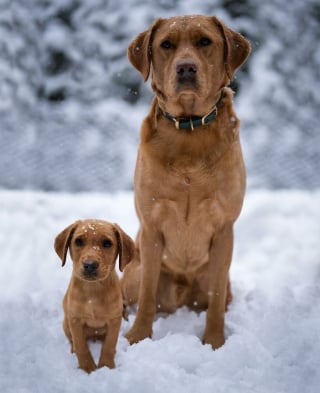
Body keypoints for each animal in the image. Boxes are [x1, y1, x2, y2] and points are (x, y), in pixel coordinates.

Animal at [54, 219, 134, 372]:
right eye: (78, 241)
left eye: (107, 243)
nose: (90, 265)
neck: (93, 291)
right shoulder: (75, 320)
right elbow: (81, 345)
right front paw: (88, 368)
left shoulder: (114, 320)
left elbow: (109, 344)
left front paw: (106, 366)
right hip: (66, 323)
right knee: (73, 340)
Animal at [121, 14, 251, 350]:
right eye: (166, 45)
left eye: (205, 41)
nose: (186, 68)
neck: (189, 129)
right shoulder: (151, 227)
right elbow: (147, 293)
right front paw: (138, 337)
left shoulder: (224, 229)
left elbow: (215, 299)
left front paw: (215, 342)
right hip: (133, 271)